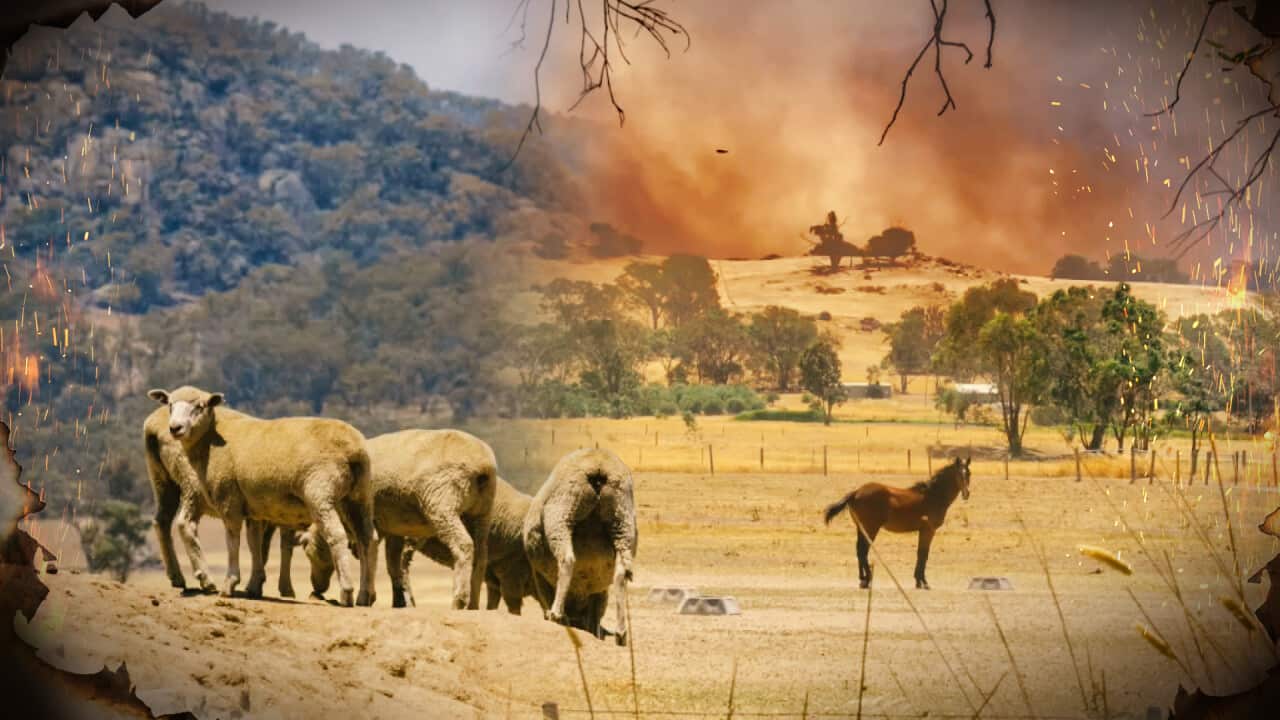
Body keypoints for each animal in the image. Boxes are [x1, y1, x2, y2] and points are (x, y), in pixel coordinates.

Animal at [145, 386, 375, 607]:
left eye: (199, 406)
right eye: (170, 405)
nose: (175, 428)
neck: (210, 439)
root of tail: (354, 449)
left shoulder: (229, 498)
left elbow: (233, 540)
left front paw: (230, 582)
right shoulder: (253, 508)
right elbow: (254, 542)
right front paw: (254, 584)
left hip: (320, 493)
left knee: (337, 535)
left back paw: (347, 592)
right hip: (358, 496)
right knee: (366, 538)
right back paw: (365, 595)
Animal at [300, 428, 498, 609]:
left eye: (310, 555)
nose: (317, 589)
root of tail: (483, 466)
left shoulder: (359, 516)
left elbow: (369, 552)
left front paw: (366, 596)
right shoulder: (394, 527)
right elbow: (392, 564)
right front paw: (399, 600)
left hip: (443, 503)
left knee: (463, 545)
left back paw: (459, 599)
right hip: (481, 512)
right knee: (481, 556)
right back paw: (473, 603)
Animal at [523, 448, 637, 645]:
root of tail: (599, 465)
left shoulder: (539, 577)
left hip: (561, 515)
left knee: (567, 559)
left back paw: (556, 614)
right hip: (623, 523)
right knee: (620, 575)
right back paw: (621, 633)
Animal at [823, 456, 971, 590]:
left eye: (969, 473)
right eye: (959, 474)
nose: (966, 494)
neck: (933, 496)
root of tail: (856, 492)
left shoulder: (923, 531)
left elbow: (920, 553)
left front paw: (918, 581)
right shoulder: (928, 530)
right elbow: (923, 554)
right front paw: (923, 582)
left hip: (862, 528)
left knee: (859, 550)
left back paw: (863, 580)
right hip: (871, 528)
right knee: (863, 551)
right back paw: (868, 579)